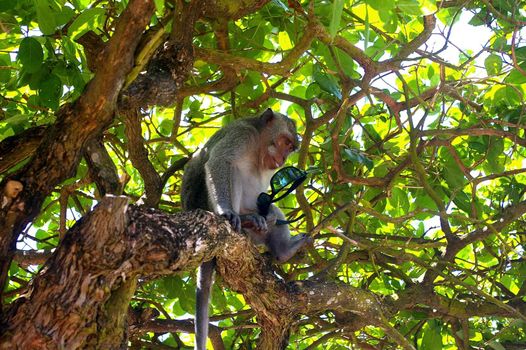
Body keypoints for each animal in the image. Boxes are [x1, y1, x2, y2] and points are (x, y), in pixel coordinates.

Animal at [183, 108, 312, 348]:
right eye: (284, 142)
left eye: (291, 148)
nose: (283, 159)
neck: (258, 145)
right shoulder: (241, 135)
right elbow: (221, 161)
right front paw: (226, 211)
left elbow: (267, 196)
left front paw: (269, 214)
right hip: (206, 202)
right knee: (232, 170)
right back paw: (244, 220)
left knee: (271, 211)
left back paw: (282, 248)